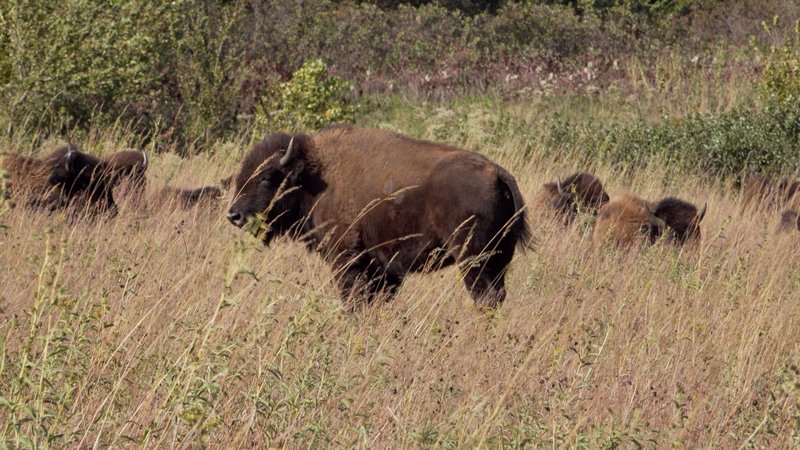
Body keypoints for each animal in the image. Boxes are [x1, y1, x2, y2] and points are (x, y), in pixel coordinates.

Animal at [227, 126, 530, 308]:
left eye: (266, 178)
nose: (234, 215)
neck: (316, 176)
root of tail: (498, 173)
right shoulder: (384, 270)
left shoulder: (347, 260)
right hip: (499, 259)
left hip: (473, 260)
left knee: (485, 297)